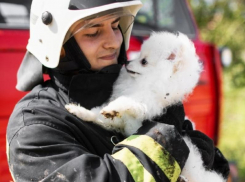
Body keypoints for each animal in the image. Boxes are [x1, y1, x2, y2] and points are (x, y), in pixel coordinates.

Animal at [65, 31, 226, 182]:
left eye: (144, 61)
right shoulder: (124, 121)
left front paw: (112, 108)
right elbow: (98, 115)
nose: (127, 61)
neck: (144, 83)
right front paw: (79, 111)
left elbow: (127, 101)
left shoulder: (146, 103)